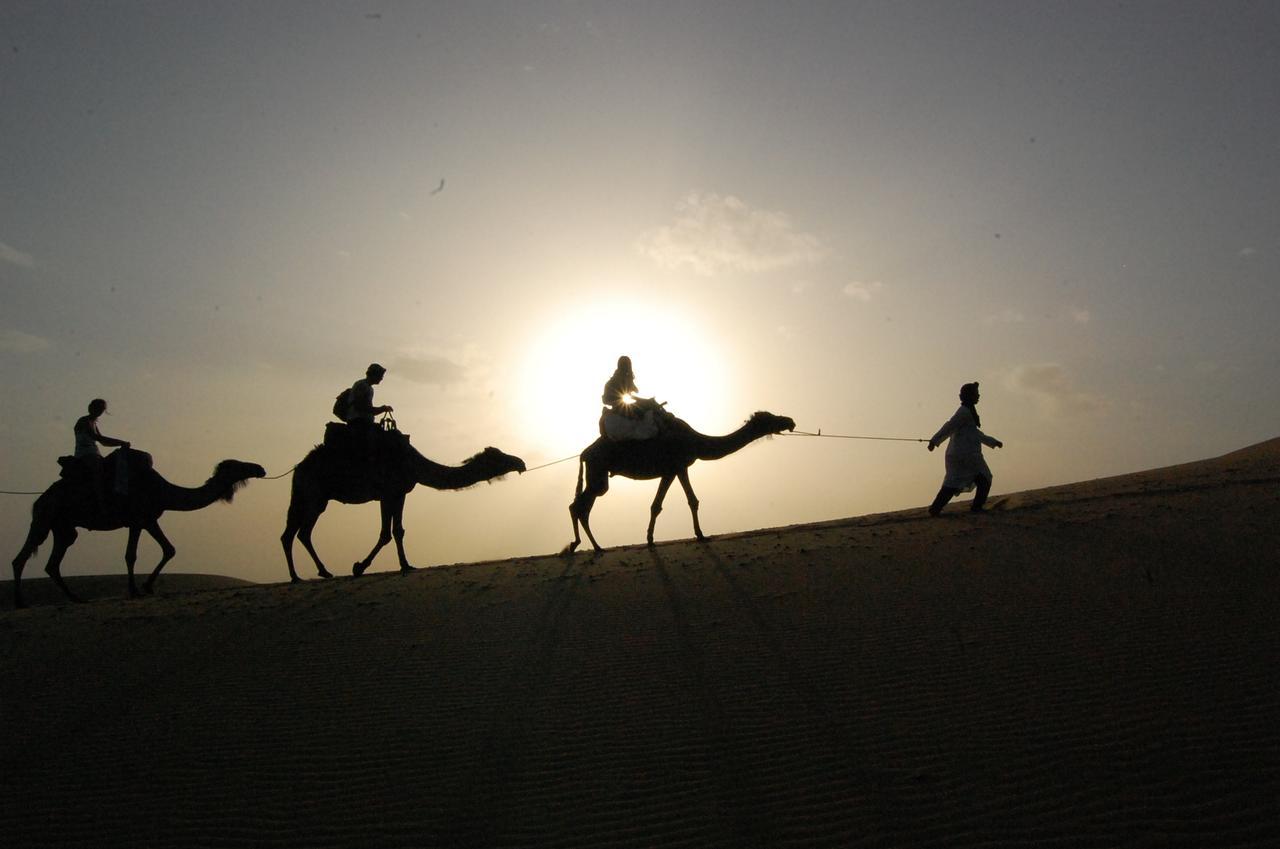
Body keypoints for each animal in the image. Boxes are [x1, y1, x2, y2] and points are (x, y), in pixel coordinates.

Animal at [10, 448, 267, 606]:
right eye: (238, 465)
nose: (260, 468)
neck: (163, 490)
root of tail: (39, 499)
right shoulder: (135, 520)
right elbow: (130, 555)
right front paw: (135, 590)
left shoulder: (149, 520)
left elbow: (169, 549)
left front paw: (147, 586)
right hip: (44, 518)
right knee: (22, 557)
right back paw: (21, 602)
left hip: (63, 527)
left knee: (52, 563)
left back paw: (75, 598)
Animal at [281, 427, 524, 581]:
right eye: (498, 457)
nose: (520, 462)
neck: (414, 463)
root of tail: (298, 467)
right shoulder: (388, 492)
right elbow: (386, 534)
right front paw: (359, 567)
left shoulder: (399, 494)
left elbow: (397, 531)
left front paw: (406, 565)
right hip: (313, 494)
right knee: (300, 532)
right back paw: (311, 574)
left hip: (309, 496)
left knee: (293, 533)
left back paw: (304, 574)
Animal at [565, 409, 793, 555]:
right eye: (769, 418)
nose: (789, 421)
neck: (697, 441)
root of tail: (584, 453)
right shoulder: (678, 466)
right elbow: (689, 501)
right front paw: (700, 535)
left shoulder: (673, 470)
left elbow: (659, 505)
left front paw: (650, 539)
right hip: (598, 472)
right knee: (578, 505)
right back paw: (588, 546)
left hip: (597, 473)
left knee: (581, 506)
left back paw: (589, 546)